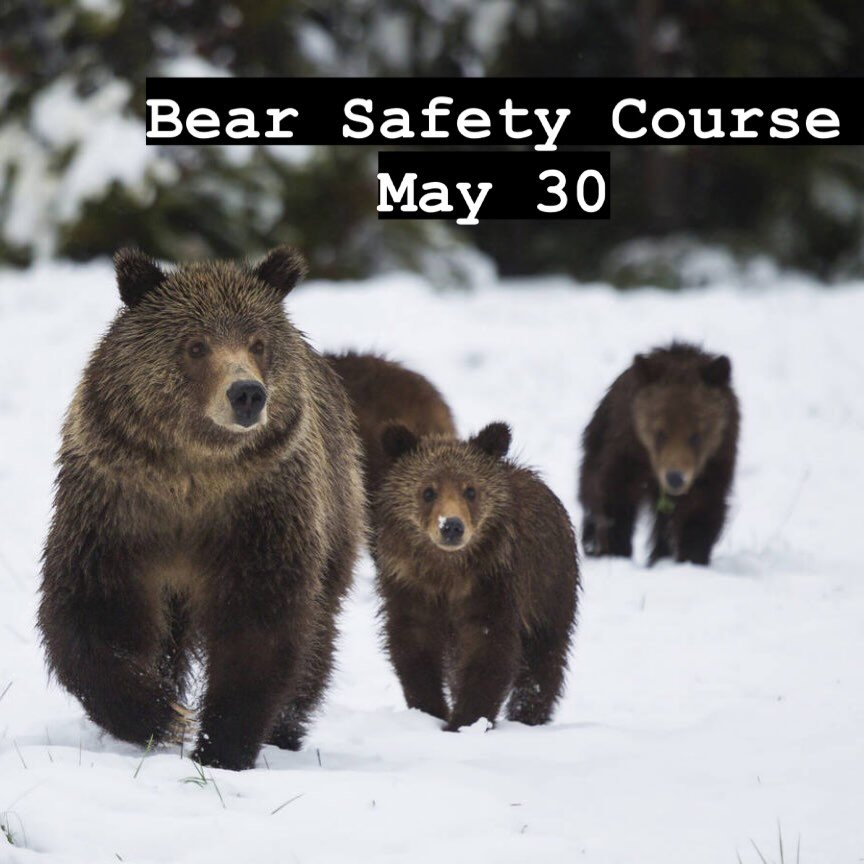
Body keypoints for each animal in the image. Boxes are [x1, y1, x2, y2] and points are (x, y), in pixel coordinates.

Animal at [38, 246, 365, 770]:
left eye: (258, 342)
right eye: (195, 345)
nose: (247, 393)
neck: (192, 475)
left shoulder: (259, 512)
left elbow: (260, 627)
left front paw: (222, 744)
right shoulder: (117, 507)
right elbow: (94, 611)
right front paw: (159, 713)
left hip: (337, 506)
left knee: (318, 629)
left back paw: (287, 727)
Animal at [371, 422, 580, 731]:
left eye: (470, 490)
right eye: (428, 491)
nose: (451, 526)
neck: (448, 571)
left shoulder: (492, 585)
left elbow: (489, 649)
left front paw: (465, 721)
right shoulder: (409, 585)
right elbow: (414, 647)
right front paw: (429, 710)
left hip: (550, 586)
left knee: (545, 655)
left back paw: (529, 714)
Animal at [578, 342, 739, 566]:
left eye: (696, 436)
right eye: (660, 433)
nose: (675, 477)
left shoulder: (716, 462)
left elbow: (700, 511)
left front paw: (692, 557)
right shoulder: (626, 450)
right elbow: (614, 497)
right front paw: (615, 550)